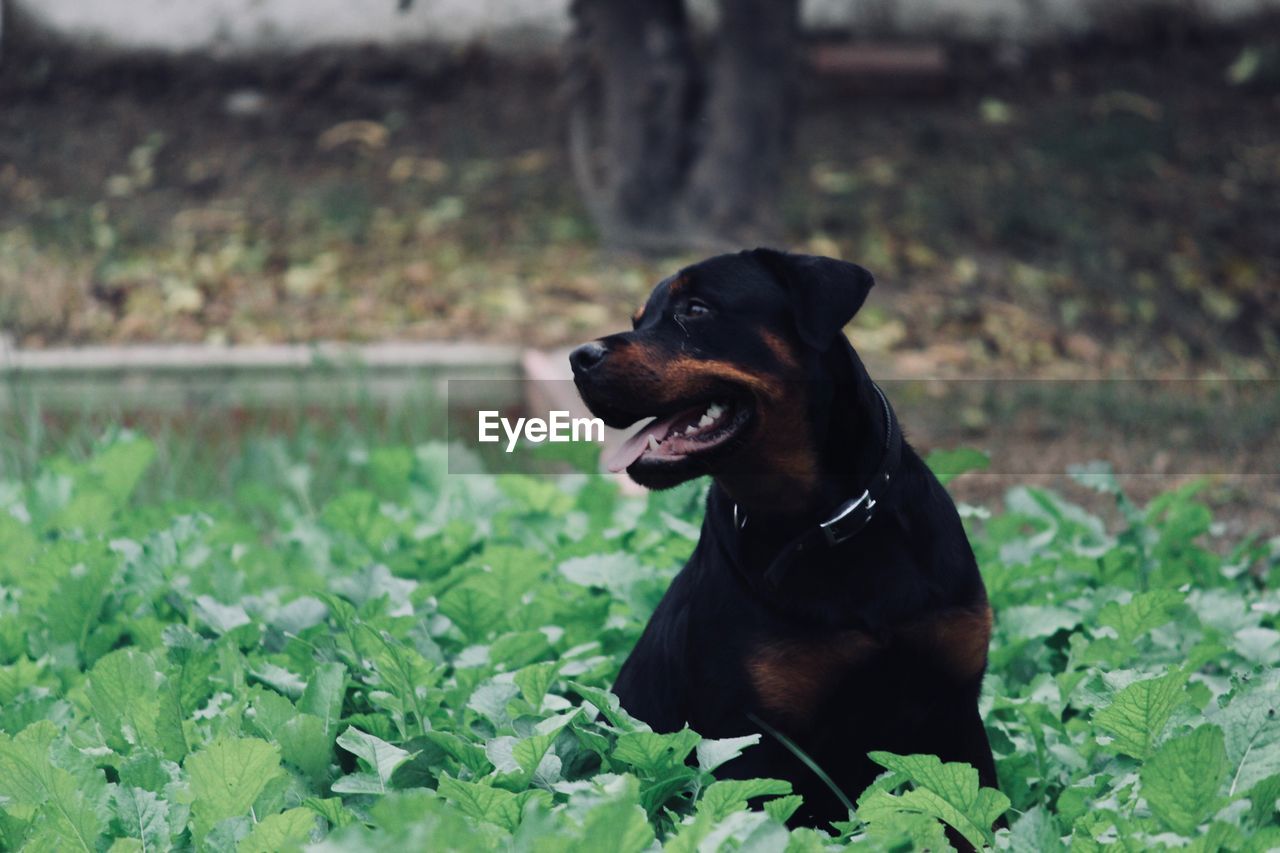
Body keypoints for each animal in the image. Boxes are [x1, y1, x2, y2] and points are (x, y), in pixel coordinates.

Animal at [570, 247, 998, 829]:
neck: (827, 526)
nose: (579, 357)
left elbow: (980, 819)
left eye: (696, 310)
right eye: (639, 320)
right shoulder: (751, 743)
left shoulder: (955, 715)